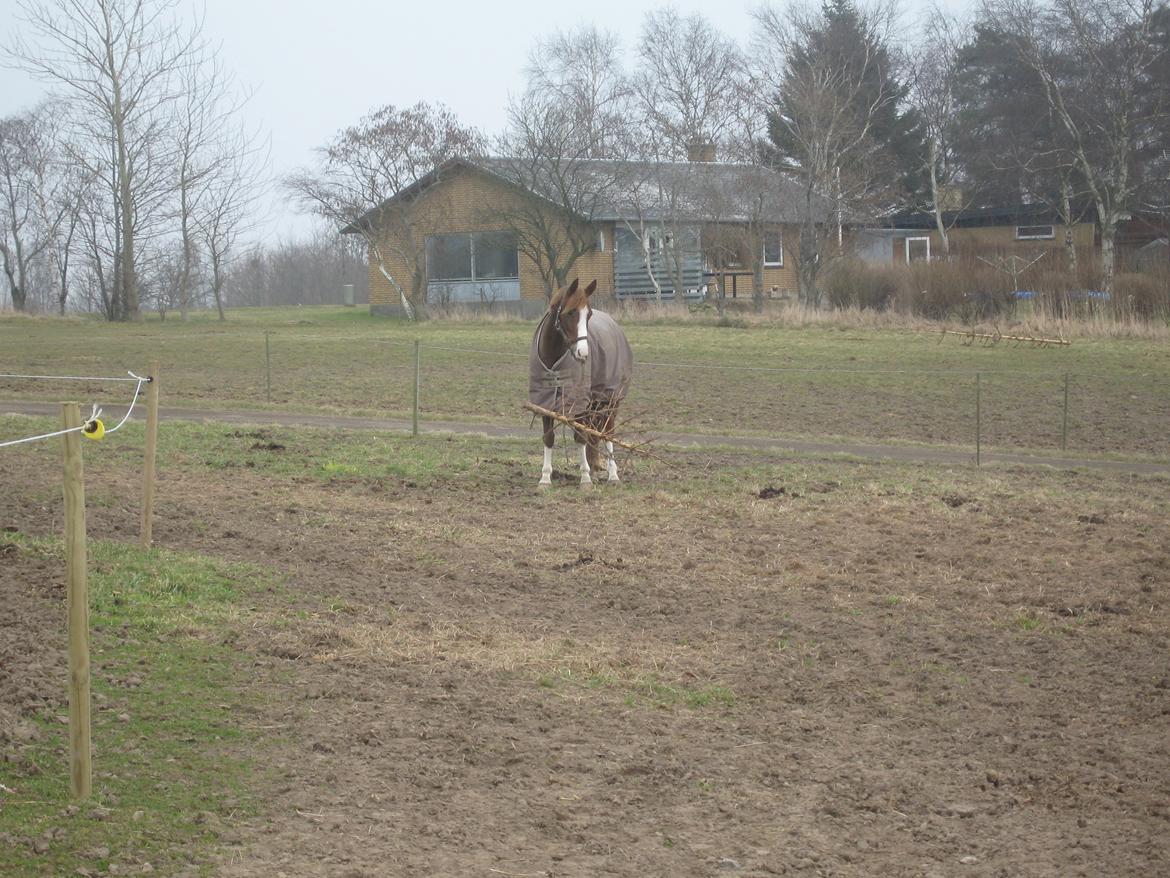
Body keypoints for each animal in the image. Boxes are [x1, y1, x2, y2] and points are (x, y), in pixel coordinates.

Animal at [528, 278, 633, 488]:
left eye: (589, 314)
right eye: (570, 312)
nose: (583, 353)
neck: (554, 359)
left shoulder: (578, 403)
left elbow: (580, 437)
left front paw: (585, 479)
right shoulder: (545, 402)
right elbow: (549, 438)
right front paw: (545, 478)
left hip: (611, 400)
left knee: (607, 432)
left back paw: (612, 475)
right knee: (594, 433)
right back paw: (595, 469)